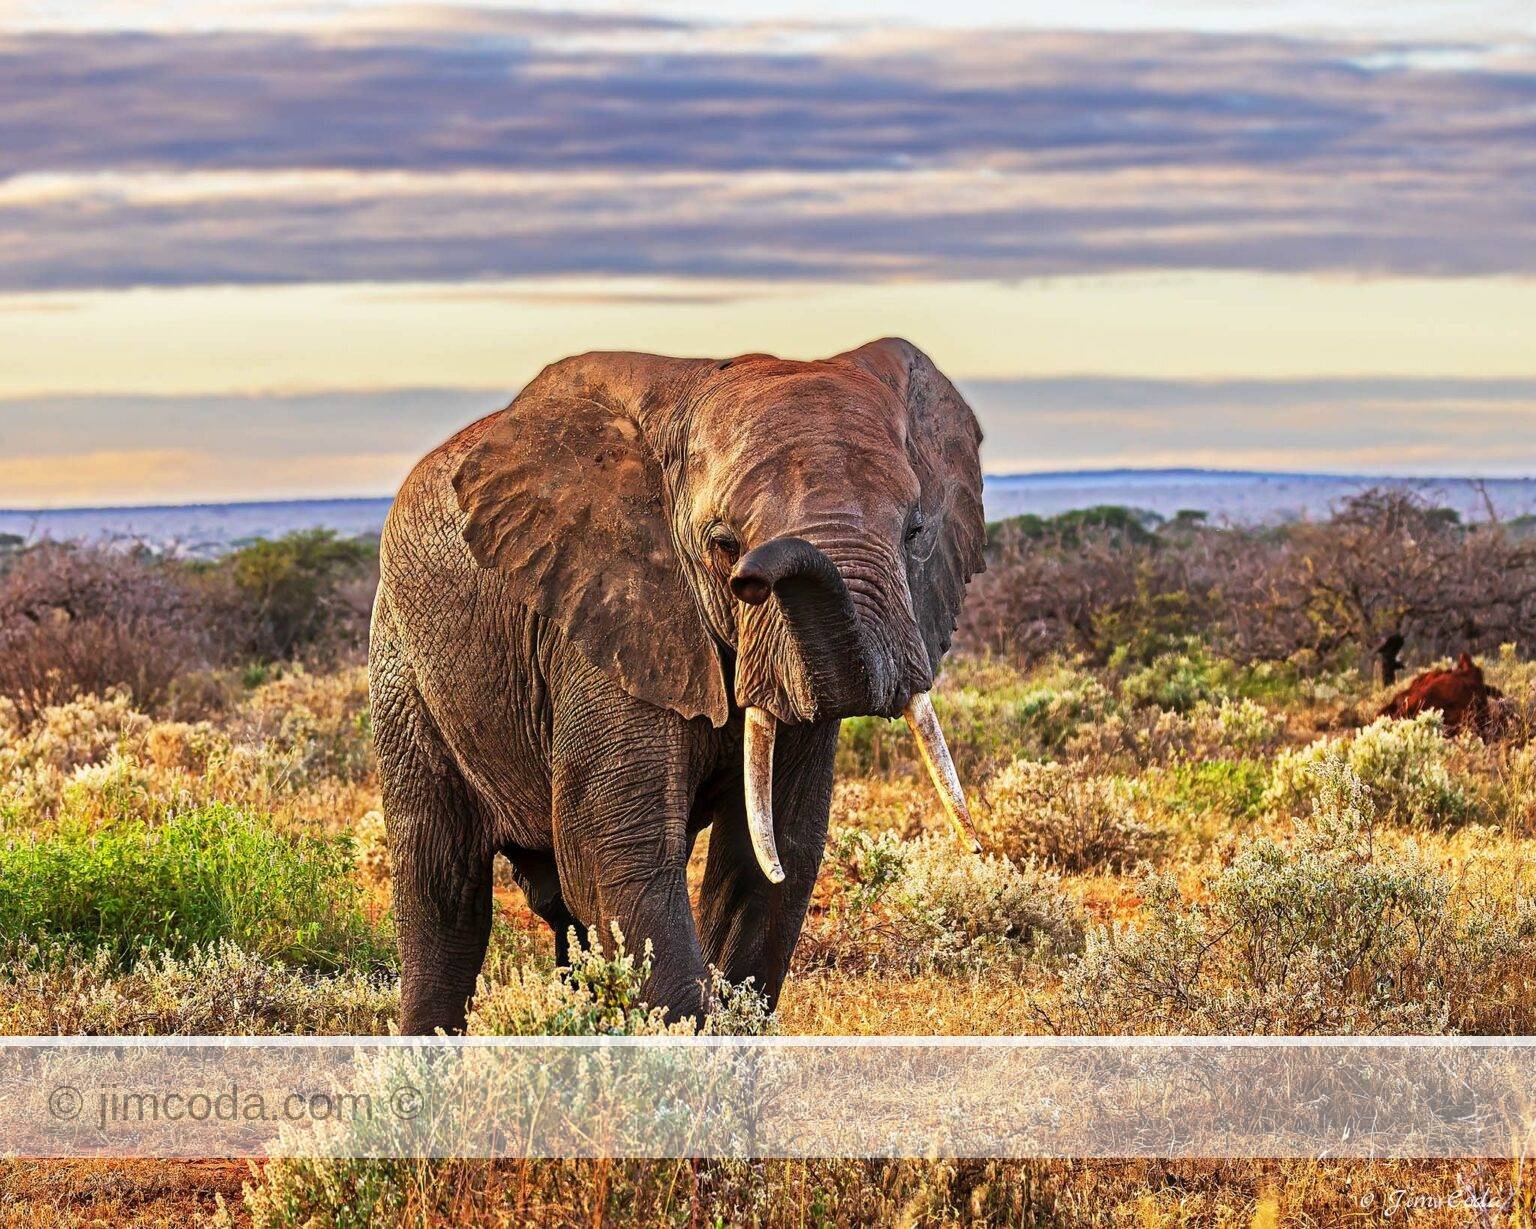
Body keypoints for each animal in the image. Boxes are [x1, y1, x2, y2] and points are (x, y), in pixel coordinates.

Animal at [369, 338, 985, 1034]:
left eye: (915, 533)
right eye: (723, 544)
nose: (753, 577)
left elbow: (772, 859)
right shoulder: (607, 620)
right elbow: (620, 858)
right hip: (404, 672)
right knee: (443, 894)